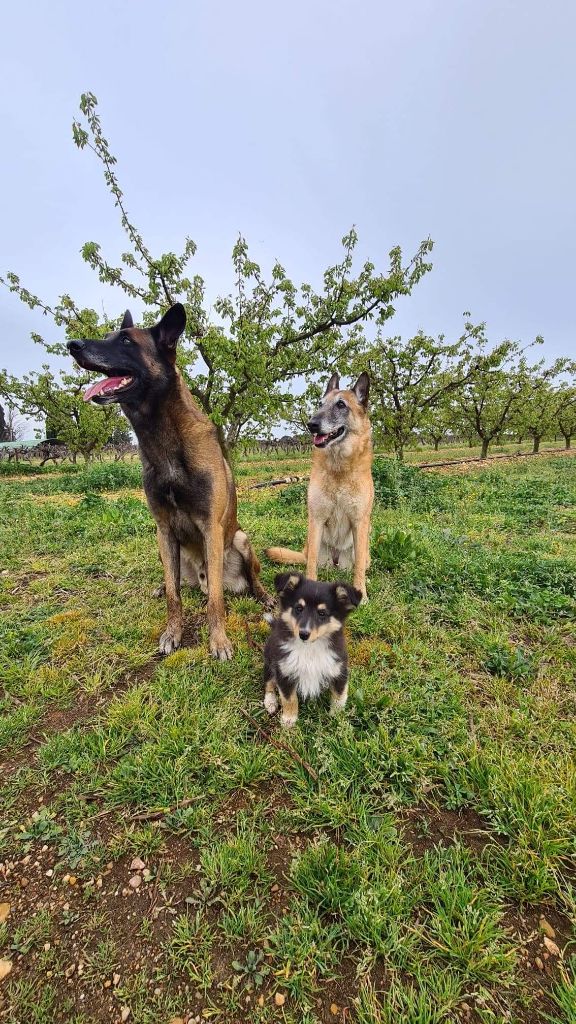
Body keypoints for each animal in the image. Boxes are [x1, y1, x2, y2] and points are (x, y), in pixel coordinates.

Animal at [264, 573, 358, 724]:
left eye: (322, 613)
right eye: (299, 608)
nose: (303, 634)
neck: (310, 648)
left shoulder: (339, 670)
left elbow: (339, 696)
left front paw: (337, 718)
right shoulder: (284, 672)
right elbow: (289, 699)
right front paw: (289, 721)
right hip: (269, 662)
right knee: (269, 683)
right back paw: (271, 703)